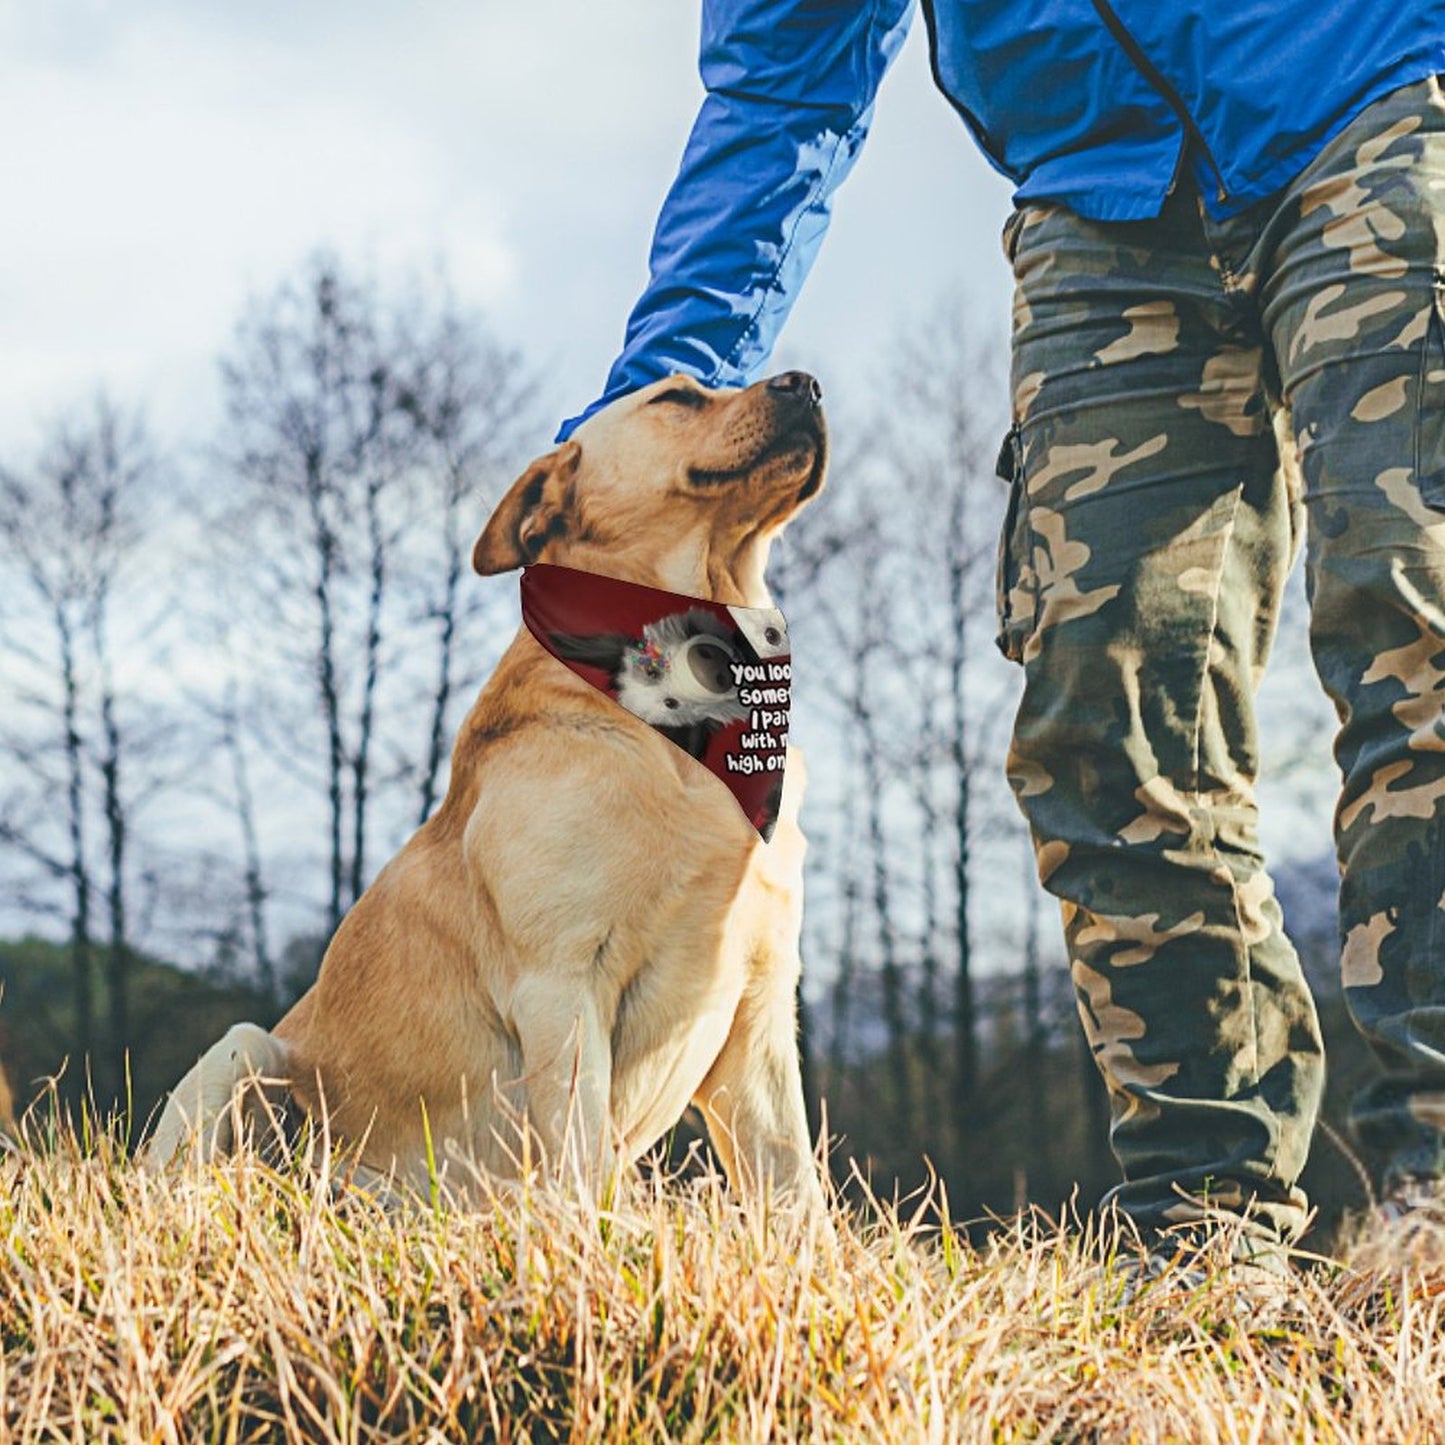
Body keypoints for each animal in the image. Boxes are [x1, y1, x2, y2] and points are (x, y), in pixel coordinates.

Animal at [148, 372, 832, 1208]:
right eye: (675, 397)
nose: (806, 383)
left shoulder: (760, 1002)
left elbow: (797, 1191)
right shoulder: (561, 983)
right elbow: (582, 1165)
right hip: (244, 1052)